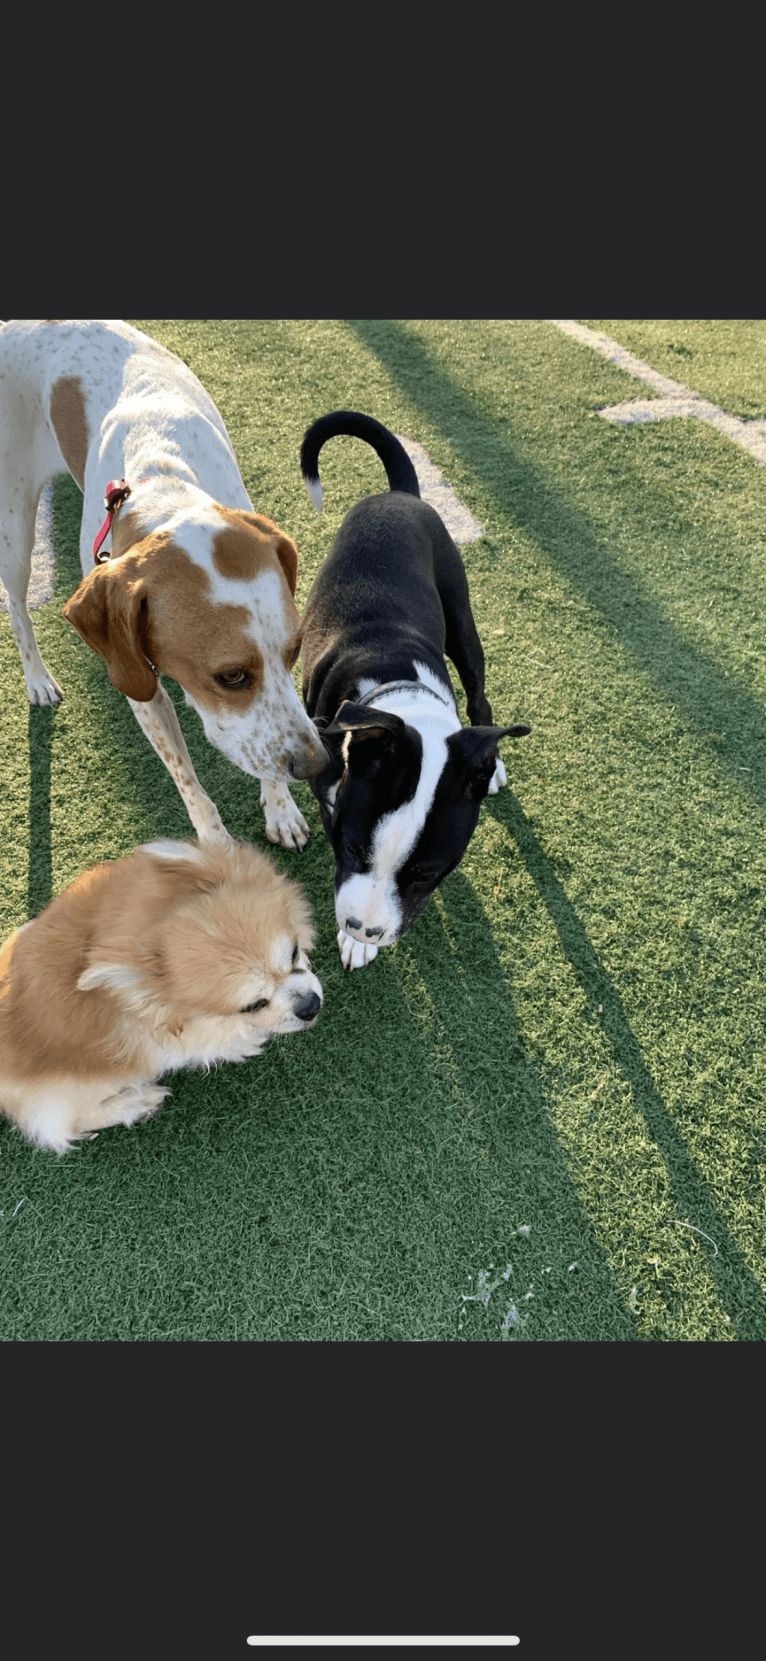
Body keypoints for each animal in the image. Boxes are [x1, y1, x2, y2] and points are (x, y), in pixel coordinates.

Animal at [0, 318, 325, 850]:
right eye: (230, 676)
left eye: (295, 651)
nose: (316, 765)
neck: (164, 487)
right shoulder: (137, 680)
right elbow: (188, 779)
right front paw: (219, 850)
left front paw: (281, 809)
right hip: (15, 524)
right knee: (17, 605)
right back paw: (38, 679)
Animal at [0, 843, 322, 1156]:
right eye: (252, 1005)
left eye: (293, 953)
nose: (310, 1006)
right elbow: (228, 1039)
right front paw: (251, 1038)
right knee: (62, 1127)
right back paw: (136, 1103)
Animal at [299, 406, 531, 970]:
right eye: (351, 847)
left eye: (427, 872)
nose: (364, 928)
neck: (394, 687)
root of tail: (399, 495)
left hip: (462, 622)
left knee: (480, 697)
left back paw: (490, 762)